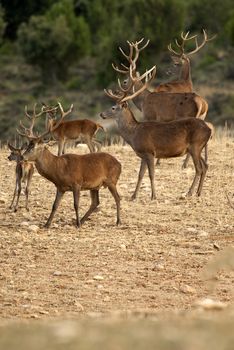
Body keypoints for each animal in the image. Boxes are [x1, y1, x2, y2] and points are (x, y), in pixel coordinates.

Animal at [101, 69, 211, 200]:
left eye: (113, 108)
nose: (102, 114)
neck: (134, 134)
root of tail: (209, 130)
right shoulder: (143, 155)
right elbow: (140, 174)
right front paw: (133, 196)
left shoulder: (149, 151)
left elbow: (151, 174)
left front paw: (153, 195)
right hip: (197, 147)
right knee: (205, 166)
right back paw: (198, 192)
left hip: (195, 145)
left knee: (199, 168)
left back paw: (189, 192)